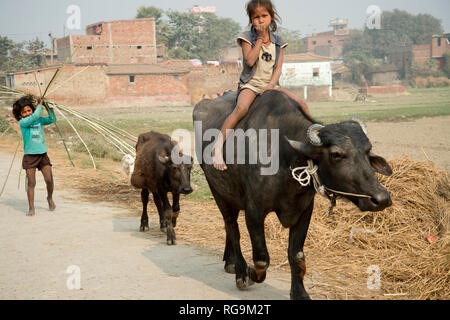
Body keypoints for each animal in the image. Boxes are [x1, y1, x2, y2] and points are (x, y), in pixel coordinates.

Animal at [193, 90, 394, 300]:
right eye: (336, 154)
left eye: (368, 150)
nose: (381, 199)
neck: (284, 157)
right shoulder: (254, 210)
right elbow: (261, 259)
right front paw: (249, 273)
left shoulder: (304, 210)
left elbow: (296, 255)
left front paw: (299, 292)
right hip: (216, 190)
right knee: (232, 227)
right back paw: (239, 270)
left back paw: (229, 261)